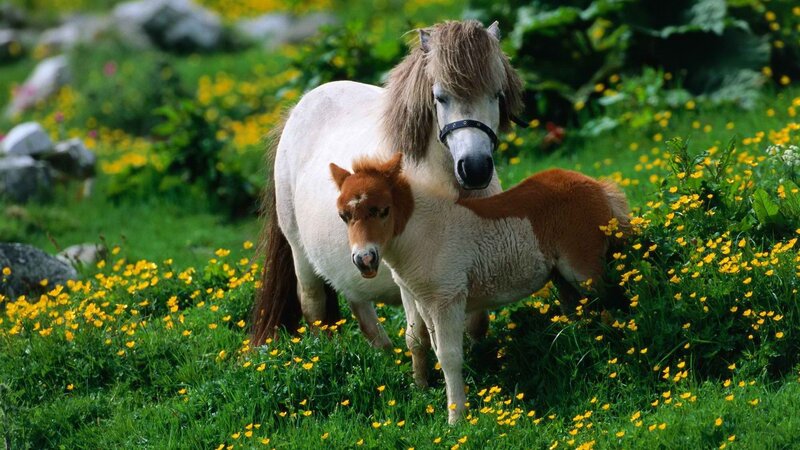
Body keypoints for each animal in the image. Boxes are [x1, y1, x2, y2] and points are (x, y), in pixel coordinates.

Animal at [250, 20, 525, 349]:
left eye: (497, 94)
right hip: (300, 252)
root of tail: (297, 110)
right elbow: (421, 334)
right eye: (440, 97)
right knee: (314, 304)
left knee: (357, 300)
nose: (475, 168)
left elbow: (476, 323)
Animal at [330, 153, 630, 424]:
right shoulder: (425, 302)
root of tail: (598, 185)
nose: (364, 260)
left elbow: (450, 356)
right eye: (343, 216)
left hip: (583, 270)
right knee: (579, 311)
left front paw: (456, 418)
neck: (424, 234)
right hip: (561, 277)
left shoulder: (448, 299)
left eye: (383, 210)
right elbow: (430, 347)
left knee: (613, 303)